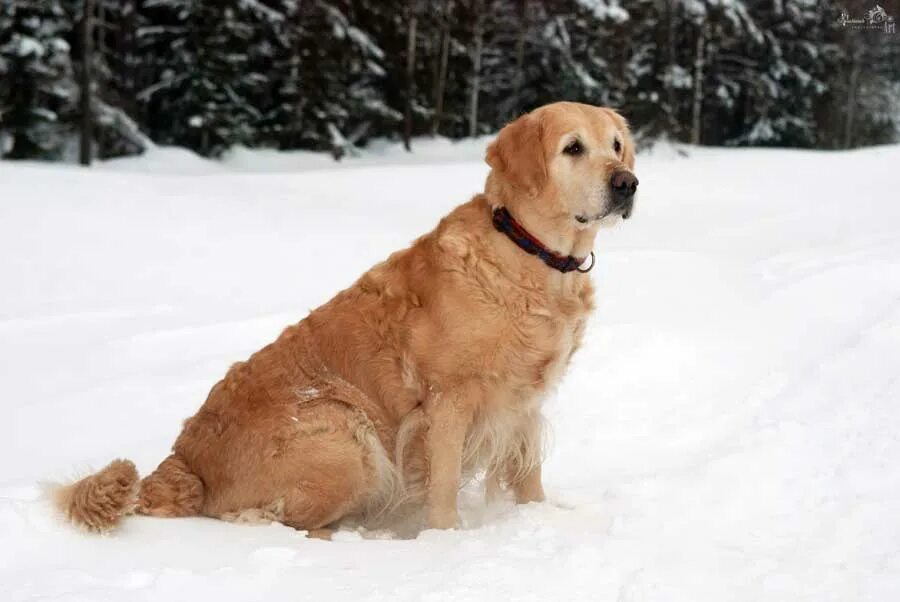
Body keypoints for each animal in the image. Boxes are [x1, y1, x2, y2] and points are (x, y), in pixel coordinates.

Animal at [52, 102, 636, 536]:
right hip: (345, 434)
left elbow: (529, 471)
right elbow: (444, 487)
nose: (627, 183)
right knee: (276, 521)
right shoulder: (447, 402)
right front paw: (446, 542)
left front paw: (540, 516)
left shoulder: (525, 400)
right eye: (573, 148)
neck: (530, 253)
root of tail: (182, 462)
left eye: (616, 145)